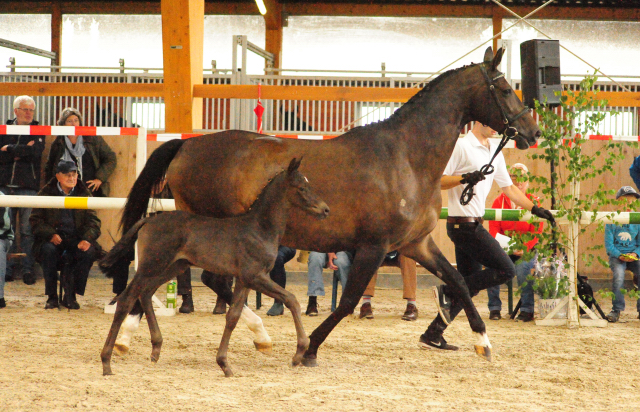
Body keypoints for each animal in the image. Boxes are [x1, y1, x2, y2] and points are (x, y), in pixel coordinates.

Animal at [101, 159, 330, 378]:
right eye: (301, 187)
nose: (325, 209)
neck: (260, 229)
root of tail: (148, 220)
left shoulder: (245, 280)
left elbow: (233, 316)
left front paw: (224, 364)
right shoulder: (255, 276)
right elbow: (291, 299)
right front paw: (299, 353)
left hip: (172, 267)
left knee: (146, 293)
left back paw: (156, 348)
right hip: (151, 265)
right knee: (127, 299)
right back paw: (106, 362)